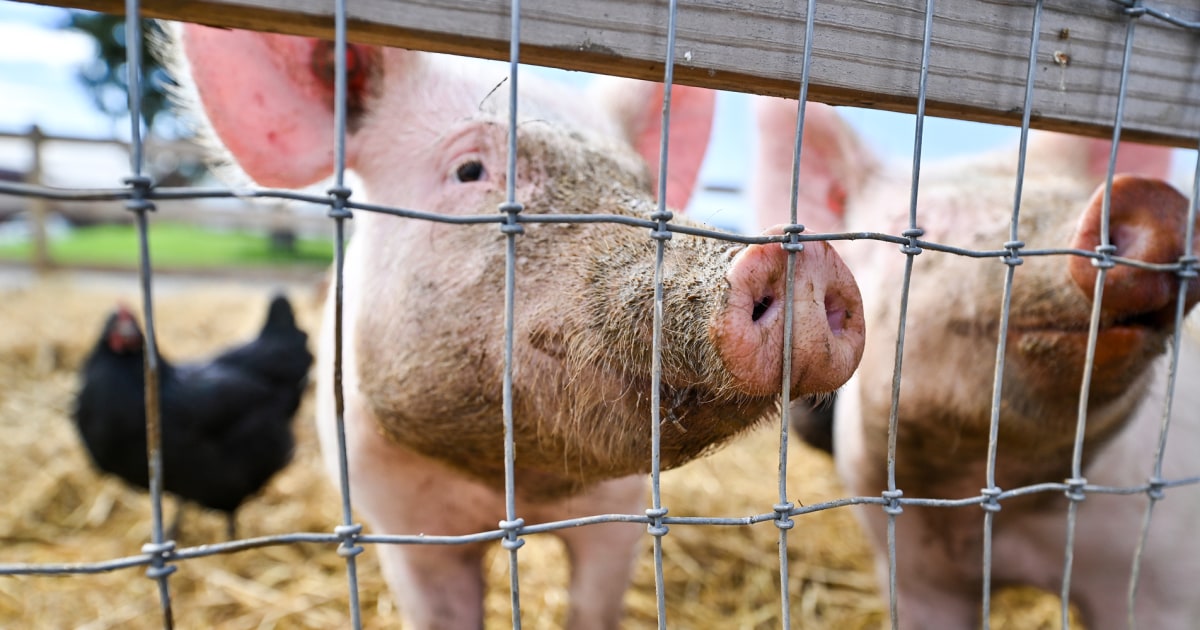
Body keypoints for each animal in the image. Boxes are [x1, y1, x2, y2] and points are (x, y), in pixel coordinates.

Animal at [174, 25, 866, 629]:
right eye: (469, 171)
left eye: (643, 185)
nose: (801, 256)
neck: (514, 485)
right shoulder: (396, 515)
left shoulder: (617, 512)